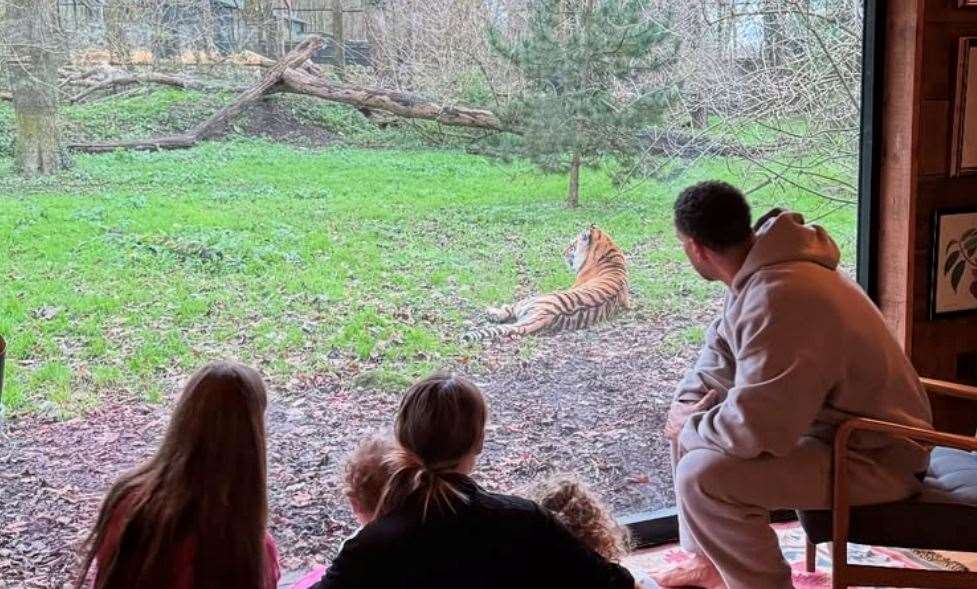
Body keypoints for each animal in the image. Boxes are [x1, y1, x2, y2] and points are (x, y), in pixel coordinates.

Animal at [462, 226, 628, 344]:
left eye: (572, 245)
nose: (563, 253)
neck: (610, 255)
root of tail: (544, 314)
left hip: (529, 299)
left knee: (508, 310)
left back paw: (491, 312)